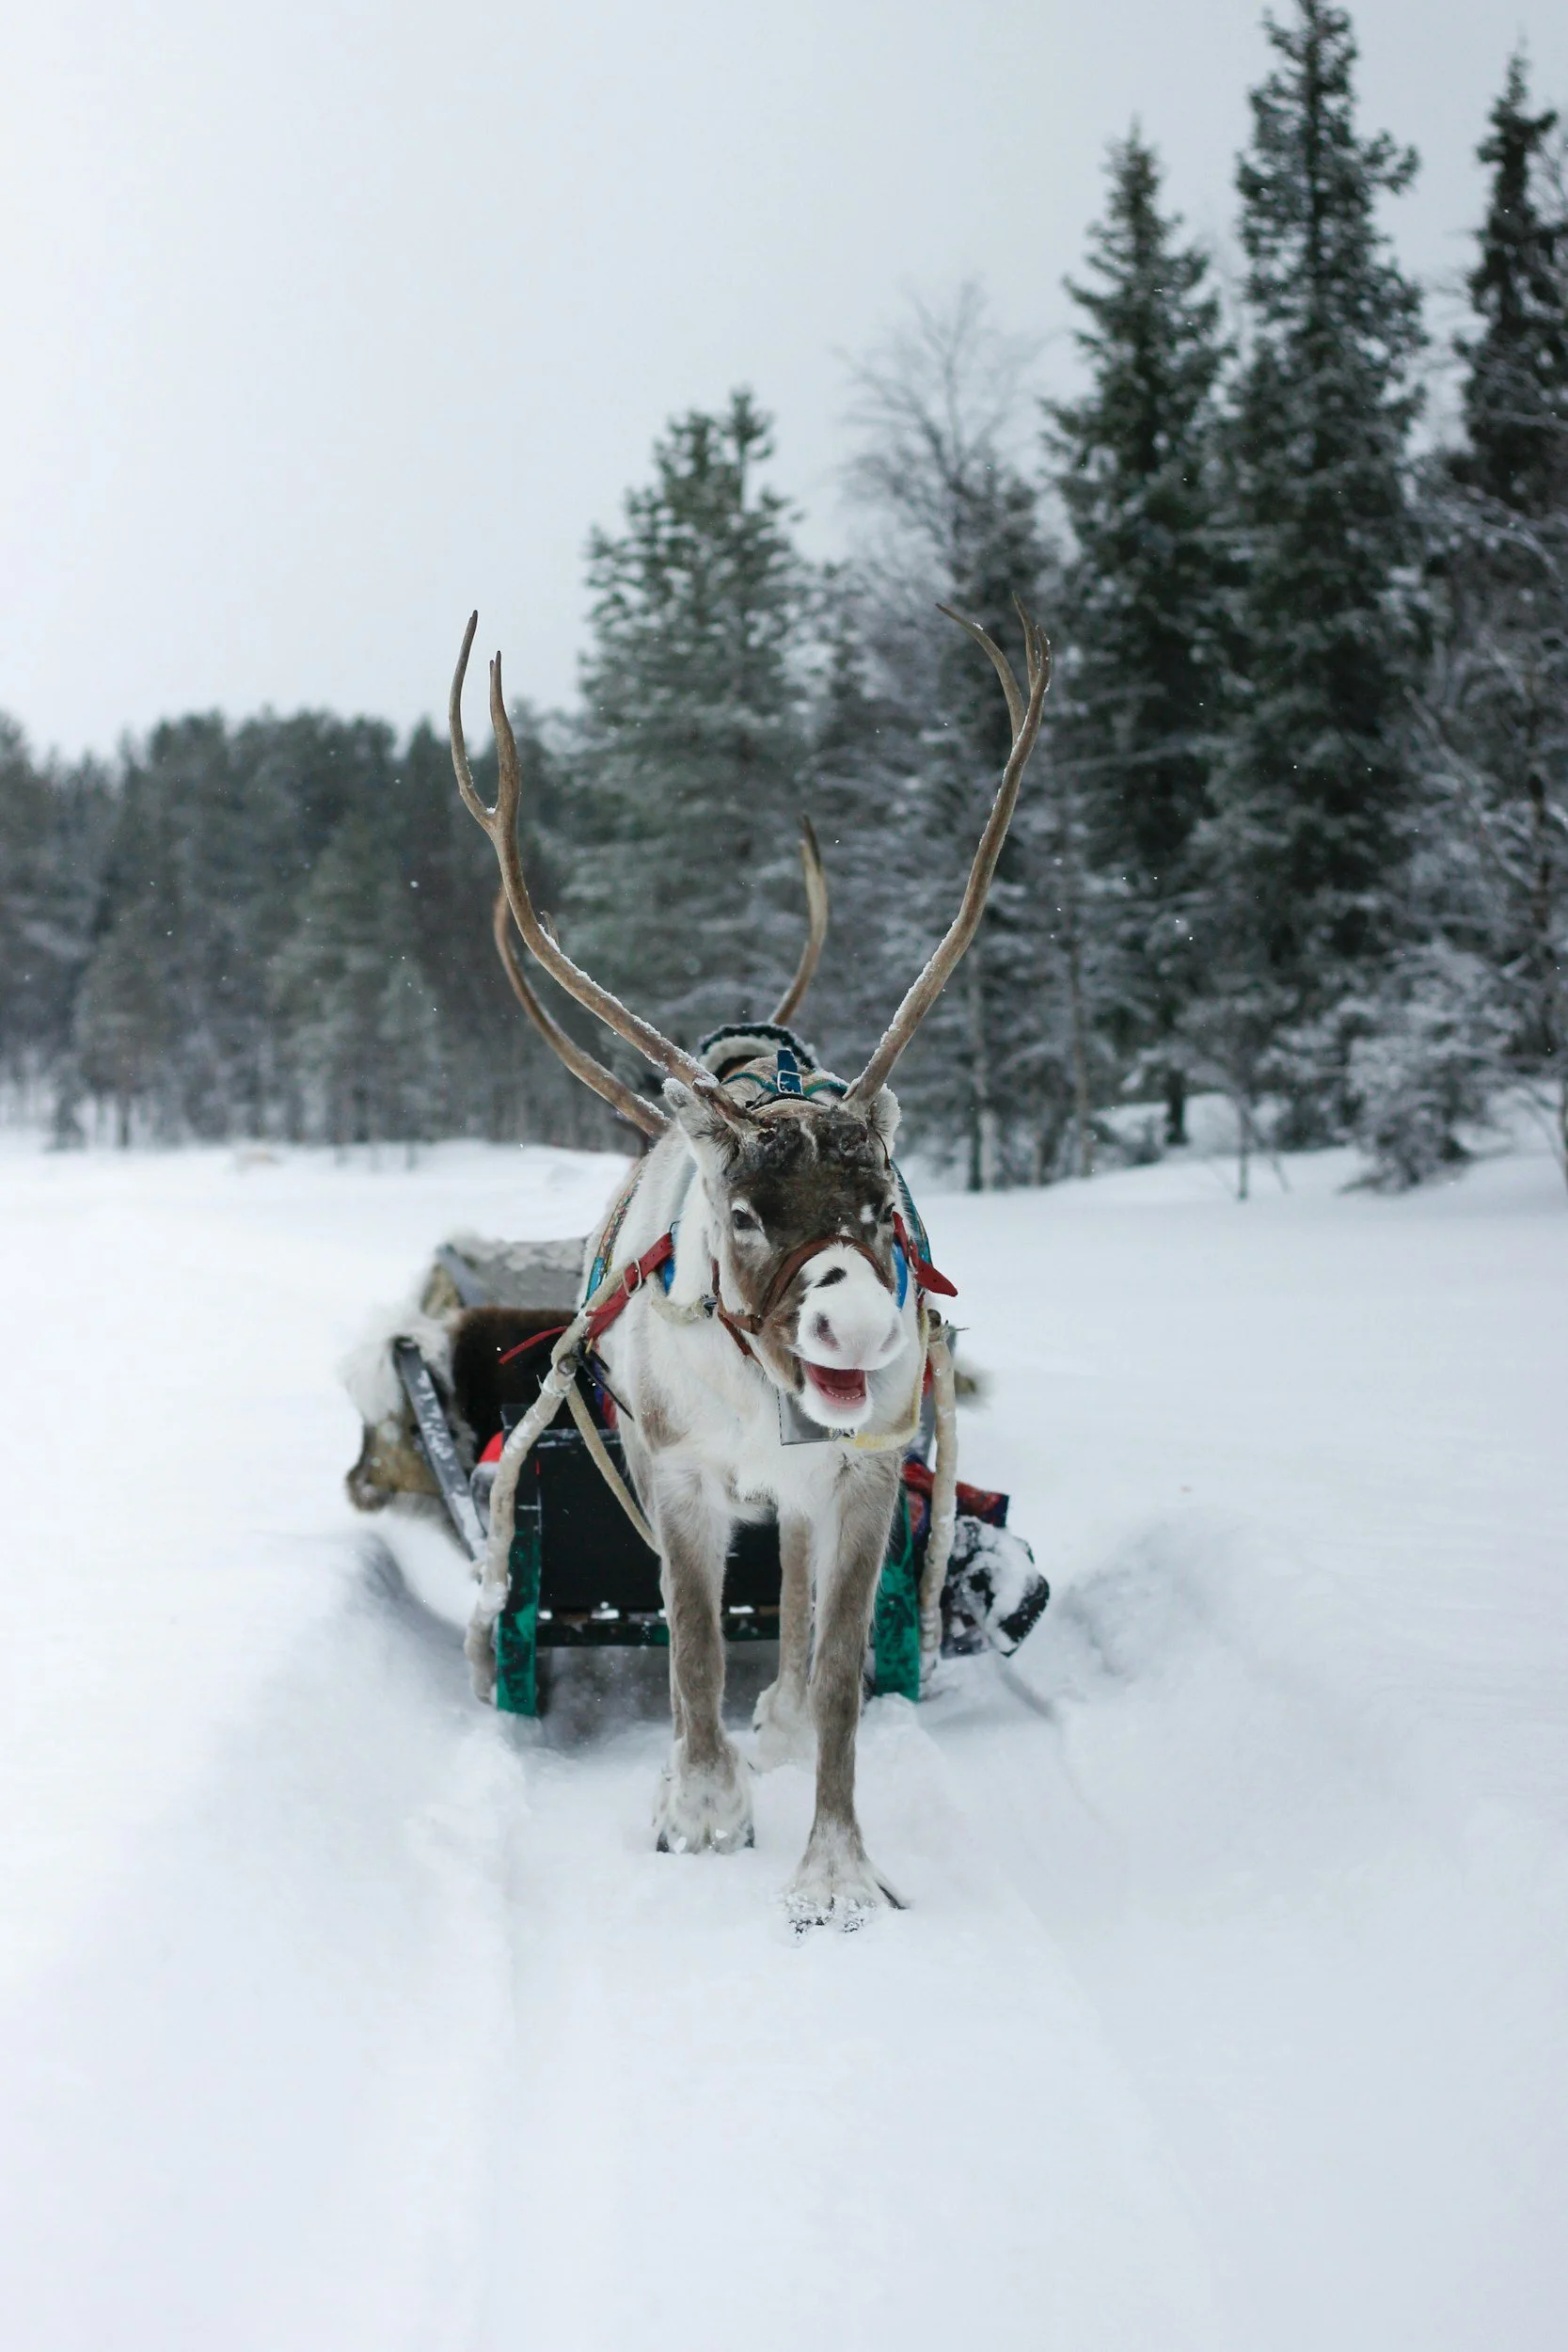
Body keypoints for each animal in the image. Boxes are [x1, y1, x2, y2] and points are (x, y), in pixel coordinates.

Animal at [449, 603, 1048, 1928]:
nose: (859, 1333)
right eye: (742, 1211)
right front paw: (700, 1808)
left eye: (879, 1204)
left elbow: (832, 1668)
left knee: (796, 1601)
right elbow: (690, 1644)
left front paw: (833, 1870)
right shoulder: (673, 1472)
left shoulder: (863, 1477)